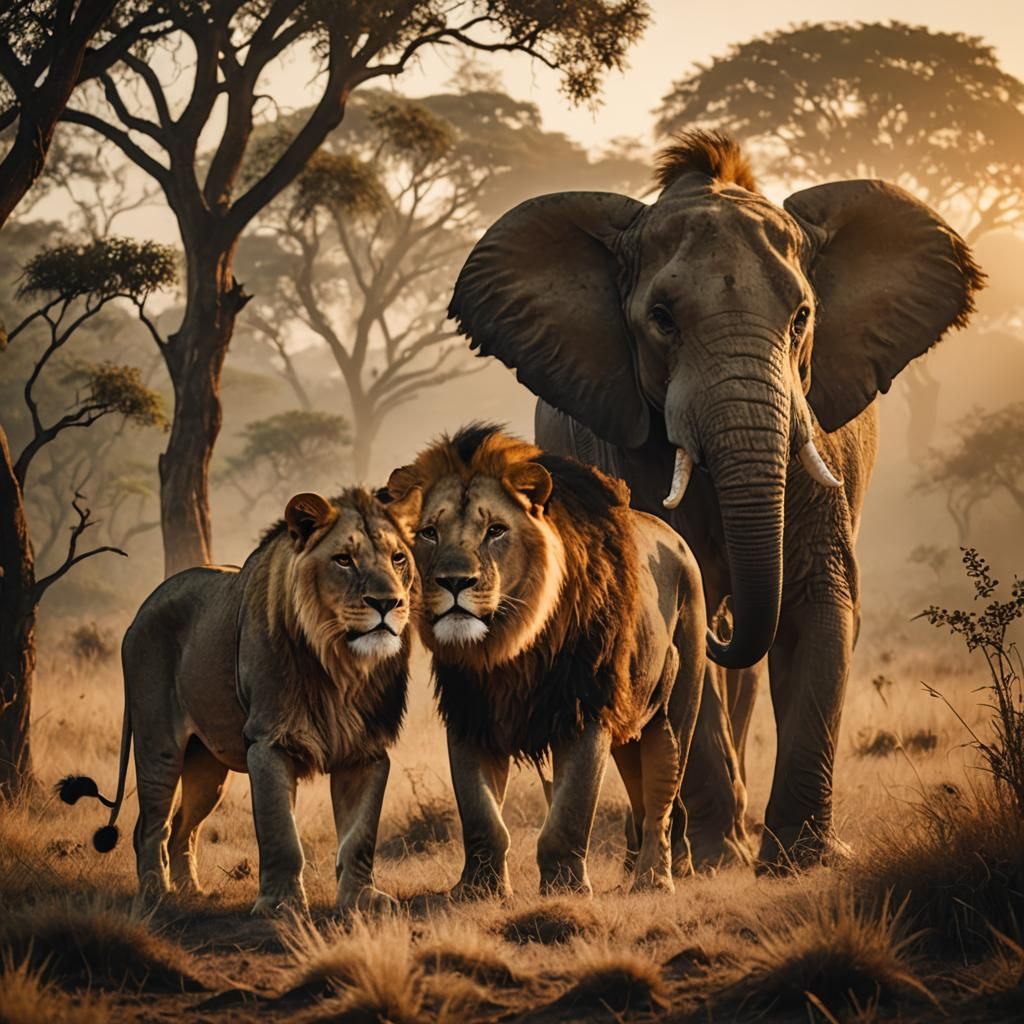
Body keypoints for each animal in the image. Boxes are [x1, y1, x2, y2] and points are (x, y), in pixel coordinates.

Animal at [59, 488, 418, 915]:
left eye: (398, 558)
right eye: (344, 559)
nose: (388, 603)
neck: (341, 667)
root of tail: (143, 609)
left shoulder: (367, 750)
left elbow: (360, 836)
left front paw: (362, 900)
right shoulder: (268, 742)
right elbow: (281, 833)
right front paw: (281, 905)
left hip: (207, 767)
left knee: (183, 827)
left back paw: (192, 892)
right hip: (157, 743)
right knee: (151, 826)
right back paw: (156, 894)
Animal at [385, 424, 707, 897]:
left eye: (496, 530)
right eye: (429, 532)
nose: (455, 582)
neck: (508, 647)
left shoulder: (585, 708)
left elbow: (569, 812)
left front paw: (565, 888)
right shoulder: (469, 712)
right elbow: (481, 814)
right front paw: (478, 889)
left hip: (674, 711)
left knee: (660, 799)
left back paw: (653, 879)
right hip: (630, 719)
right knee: (640, 789)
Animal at [447, 131, 982, 870]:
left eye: (803, 317)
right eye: (662, 320)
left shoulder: (821, 441)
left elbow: (817, 604)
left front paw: (802, 861)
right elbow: (682, 619)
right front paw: (722, 860)